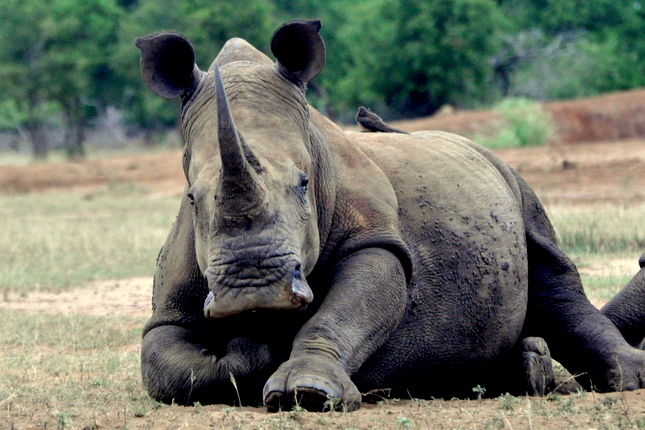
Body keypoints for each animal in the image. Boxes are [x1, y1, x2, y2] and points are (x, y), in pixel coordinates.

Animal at [136, 20, 645, 411]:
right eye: (191, 198)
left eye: (303, 183)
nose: (252, 289)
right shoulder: (172, 308)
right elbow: (166, 365)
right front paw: (252, 345)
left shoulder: (376, 239)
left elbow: (350, 306)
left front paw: (307, 393)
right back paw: (525, 371)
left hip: (513, 179)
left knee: (552, 276)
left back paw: (623, 379)